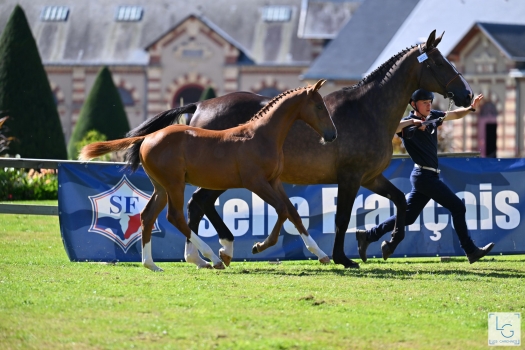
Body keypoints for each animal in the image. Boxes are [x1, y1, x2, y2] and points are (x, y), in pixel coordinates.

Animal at [81, 79, 336, 270]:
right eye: (319, 106)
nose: (332, 135)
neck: (261, 135)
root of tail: (148, 137)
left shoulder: (274, 182)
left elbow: (293, 212)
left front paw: (322, 253)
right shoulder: (256, 182)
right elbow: (282, 210)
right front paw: (259, 246)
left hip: (161, 187)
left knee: (148, 215)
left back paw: (152, 264)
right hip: (175, 184)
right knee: (176, 216)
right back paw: (211, 257)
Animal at [125, 30, 472, 268]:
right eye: (439, 61)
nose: (467, 94)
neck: (368, 110)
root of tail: (199, 106)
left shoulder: (371, 177)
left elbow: (400, 201)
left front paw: (386, 245)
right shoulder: (350, 177)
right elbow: (342, 217)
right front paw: (342, 257)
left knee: (196, 205)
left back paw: (208, 253)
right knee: (196, 204)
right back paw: (214, 251)